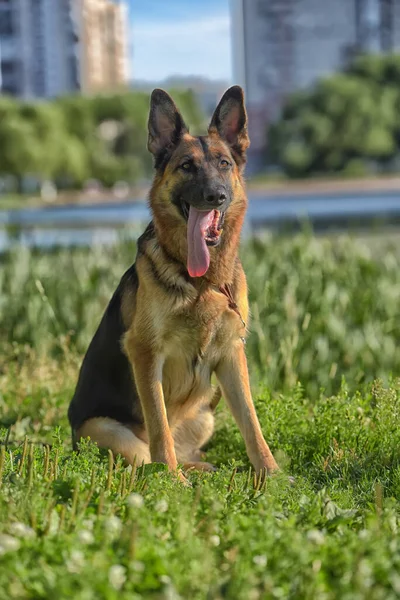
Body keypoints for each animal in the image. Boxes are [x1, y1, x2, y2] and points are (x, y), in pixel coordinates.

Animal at [68, 85, 278, 482]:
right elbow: (159, 426)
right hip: (105, 428)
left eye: (224, 164)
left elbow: (252, 423)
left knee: (186, 449)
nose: (215, 195)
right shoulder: (145, 352)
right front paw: (171, 482)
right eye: (186, 166)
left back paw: (201, 467)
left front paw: (271, 475)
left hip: (206, 412)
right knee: (143, 456)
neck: (203, 283)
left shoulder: (232, 353)